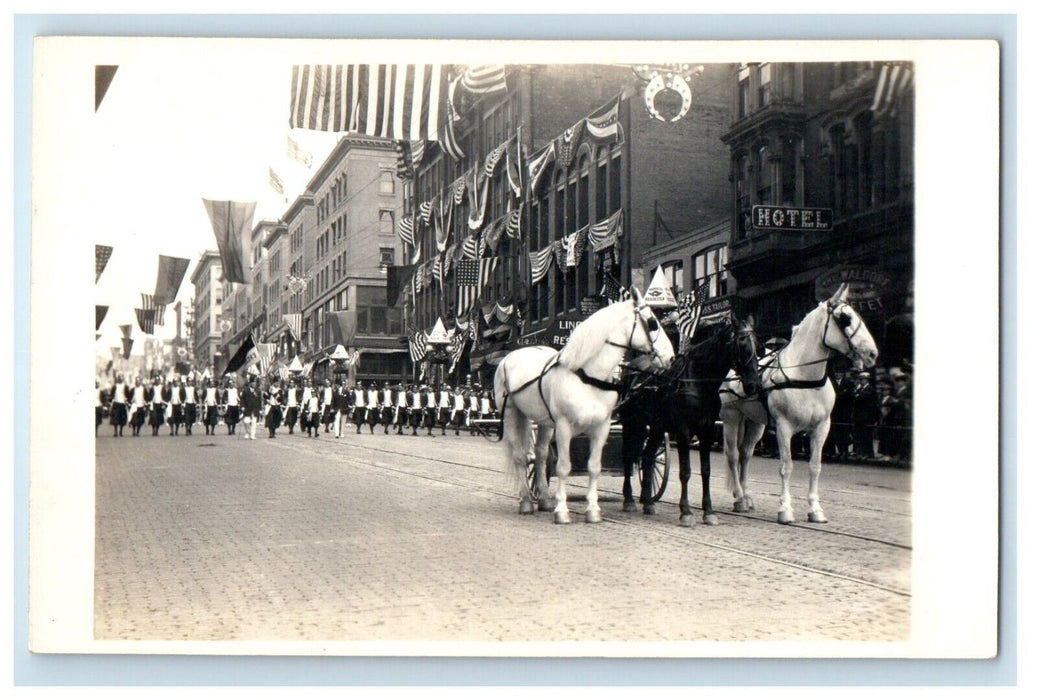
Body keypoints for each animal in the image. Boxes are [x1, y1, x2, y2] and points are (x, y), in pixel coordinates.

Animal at [492, 288, 672, 523]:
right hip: (512, 414)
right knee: (522, 457)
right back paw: (526, 502)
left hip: (545, 422)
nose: (671, 356)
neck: (588, 377)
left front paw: (593, 511)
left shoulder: (601, 427)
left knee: (540, 456)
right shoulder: (564, 427)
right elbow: (563, 467)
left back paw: (544, 500)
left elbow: (594, 467)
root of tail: (509, 357)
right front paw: (562, 511)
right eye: (652, 323)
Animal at [722, 280, 876, 521]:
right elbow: (787, 466)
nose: (872, 354)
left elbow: (815, 466)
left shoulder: (822, 427)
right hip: (732, 419)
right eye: (845, 318)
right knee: (732, 455)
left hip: (755, 423)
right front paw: (785, 509)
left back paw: (747, 498)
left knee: (745, 455)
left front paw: (815, 509)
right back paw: (738, 498)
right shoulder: (784, 427)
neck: (805, 378)